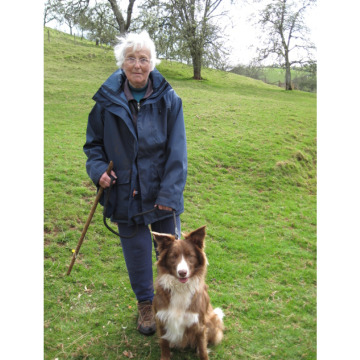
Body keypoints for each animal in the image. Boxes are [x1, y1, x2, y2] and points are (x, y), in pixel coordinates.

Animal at [152, 226, 225, 358]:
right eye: (173, 256)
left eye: (190, 255)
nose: (182, 273)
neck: (180, 288)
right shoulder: (162, 320)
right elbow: (164, 344)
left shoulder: (199, 324)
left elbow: (202, 348)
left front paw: (203, 354)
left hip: (213, 319)